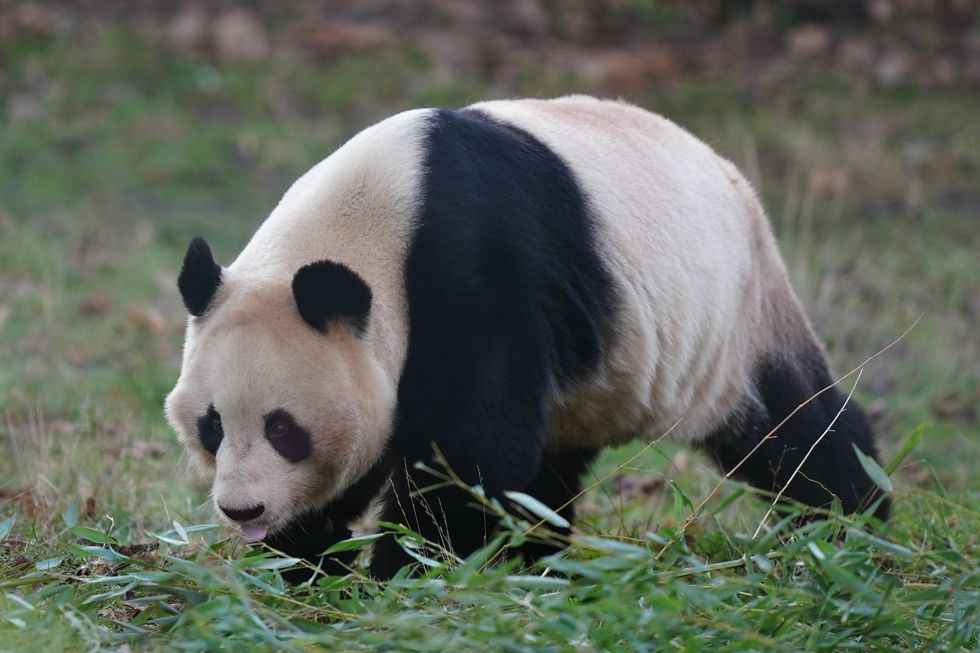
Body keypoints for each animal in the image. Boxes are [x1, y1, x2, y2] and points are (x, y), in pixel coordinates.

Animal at [167, 94, 888, 580]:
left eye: (284, 428)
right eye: (212, 425)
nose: (241, 508)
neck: (373, 218)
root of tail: (729, 174)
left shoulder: (476, 276)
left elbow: (470, 453)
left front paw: (408, 572)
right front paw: (305, 566)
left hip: (732, 317)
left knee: (795, 431)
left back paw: (854, 526)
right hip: (600, 377)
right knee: (550, 468)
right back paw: (540, 564)